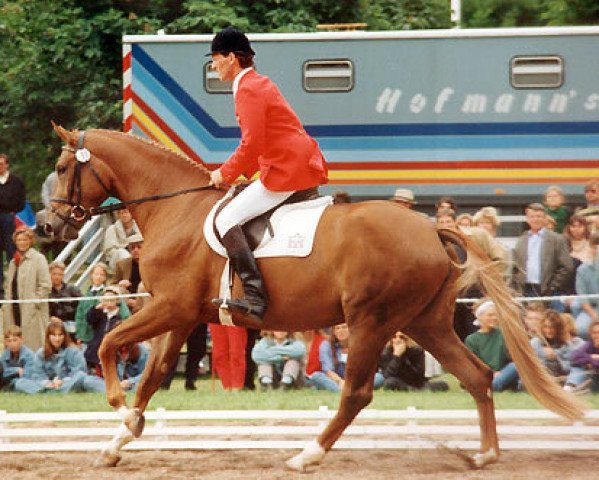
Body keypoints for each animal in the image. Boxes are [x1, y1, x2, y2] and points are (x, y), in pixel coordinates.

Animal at [49, 125, 588, 470]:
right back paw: (485, 454)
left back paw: (308, 454)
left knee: (357, 393)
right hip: (425, 322)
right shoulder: (181, 316)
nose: (51, 227)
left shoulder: (171, 307)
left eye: (61, 166)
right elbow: (153, 375)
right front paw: (120, 438)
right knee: (476, 376)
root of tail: (431, 228)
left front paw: (118, 407)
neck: (174, 209)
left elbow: (108, 344)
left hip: (372, 321)